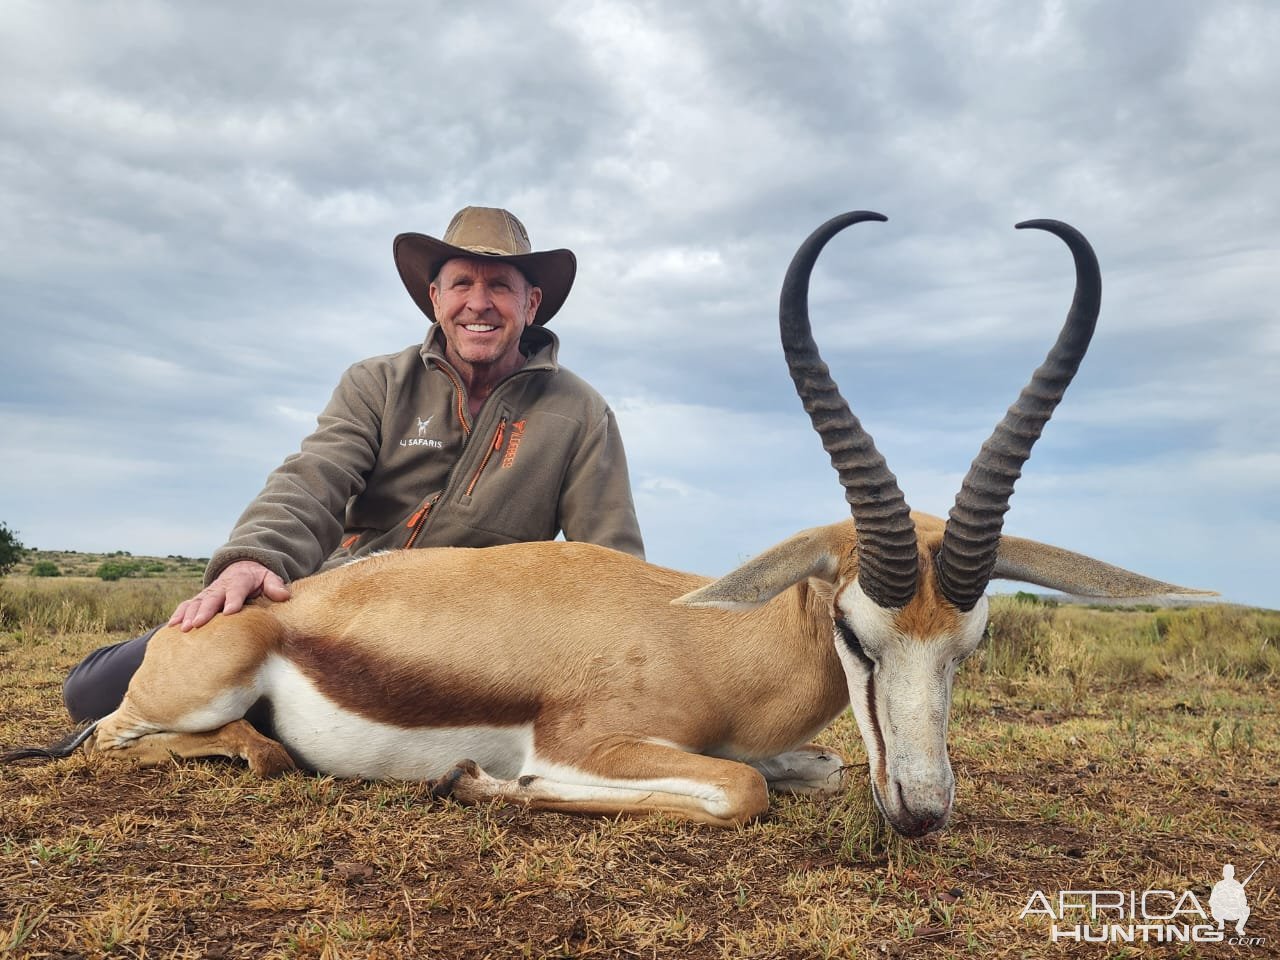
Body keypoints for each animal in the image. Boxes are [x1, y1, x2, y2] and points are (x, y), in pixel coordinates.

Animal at [2, 209, 1208, 834]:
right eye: (856, 633)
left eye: (972, 641)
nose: (919, 811)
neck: (709, 640)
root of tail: (244, 609)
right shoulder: (594, 739)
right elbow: (732, 789)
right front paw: (486, 779)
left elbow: (804, 770)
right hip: (179, 700)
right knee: (126, 745)